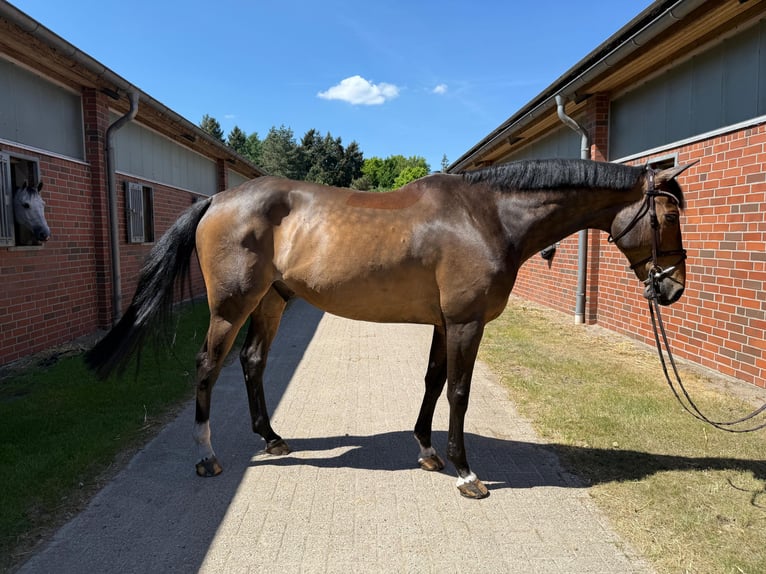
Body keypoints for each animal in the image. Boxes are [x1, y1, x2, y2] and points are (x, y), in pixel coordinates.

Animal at [85, 158, 692, 499]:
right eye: (666, 217)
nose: (672, 288)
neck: (488, 217)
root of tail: (218, 199)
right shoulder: (467, 323)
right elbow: (459, 392)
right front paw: (466, 473)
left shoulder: (446, 323)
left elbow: (432, 382)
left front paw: (427, 451)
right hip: (231, 307)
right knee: (208, 366)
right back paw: (206, 455)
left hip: (271, 302)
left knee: (252, 362)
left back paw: (273, 438)